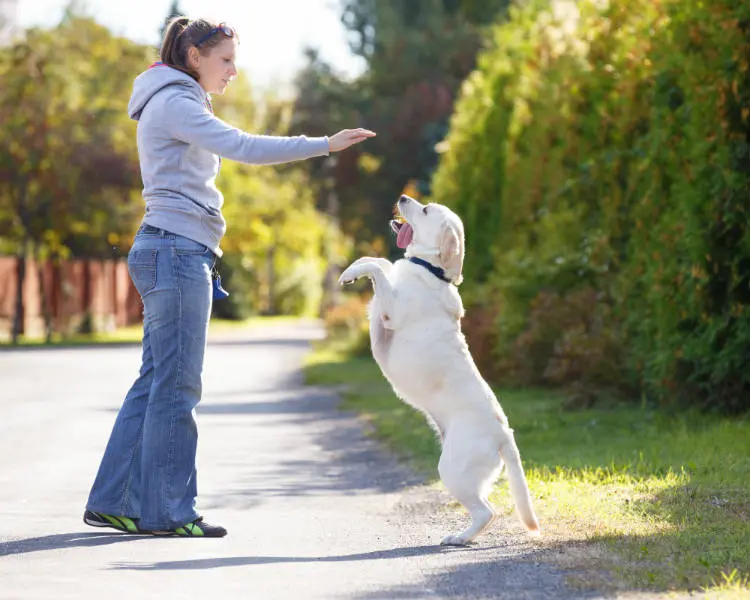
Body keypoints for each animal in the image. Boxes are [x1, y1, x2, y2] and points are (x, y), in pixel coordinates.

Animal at [340, 196, 540, 544]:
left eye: (425, 210)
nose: (403, 197)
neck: (429, 269)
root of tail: (505, 435)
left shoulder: (390, 312)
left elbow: (379, 267)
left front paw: (354, 270)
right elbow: (381, 260)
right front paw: (354, 268)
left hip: (452, 469)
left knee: (487, 512)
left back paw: (458, 538)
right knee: (487, 508)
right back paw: (464, 536)